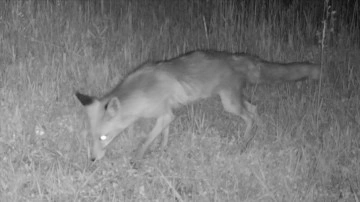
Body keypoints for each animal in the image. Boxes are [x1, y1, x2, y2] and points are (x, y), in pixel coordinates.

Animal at [74, 49, 320, 166]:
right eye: (90, 137)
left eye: (104, 137)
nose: (92, 160)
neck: (141, 91)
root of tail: (238, 57)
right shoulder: (167, 114)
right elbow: (163, 136)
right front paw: (162, 150)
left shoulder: (164, 115)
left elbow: (145, 141)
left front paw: (137, 160)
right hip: (234, 101)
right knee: (255, 108)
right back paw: (253, 138)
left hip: (229, 104)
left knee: (250, 114)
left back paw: (242, 145)